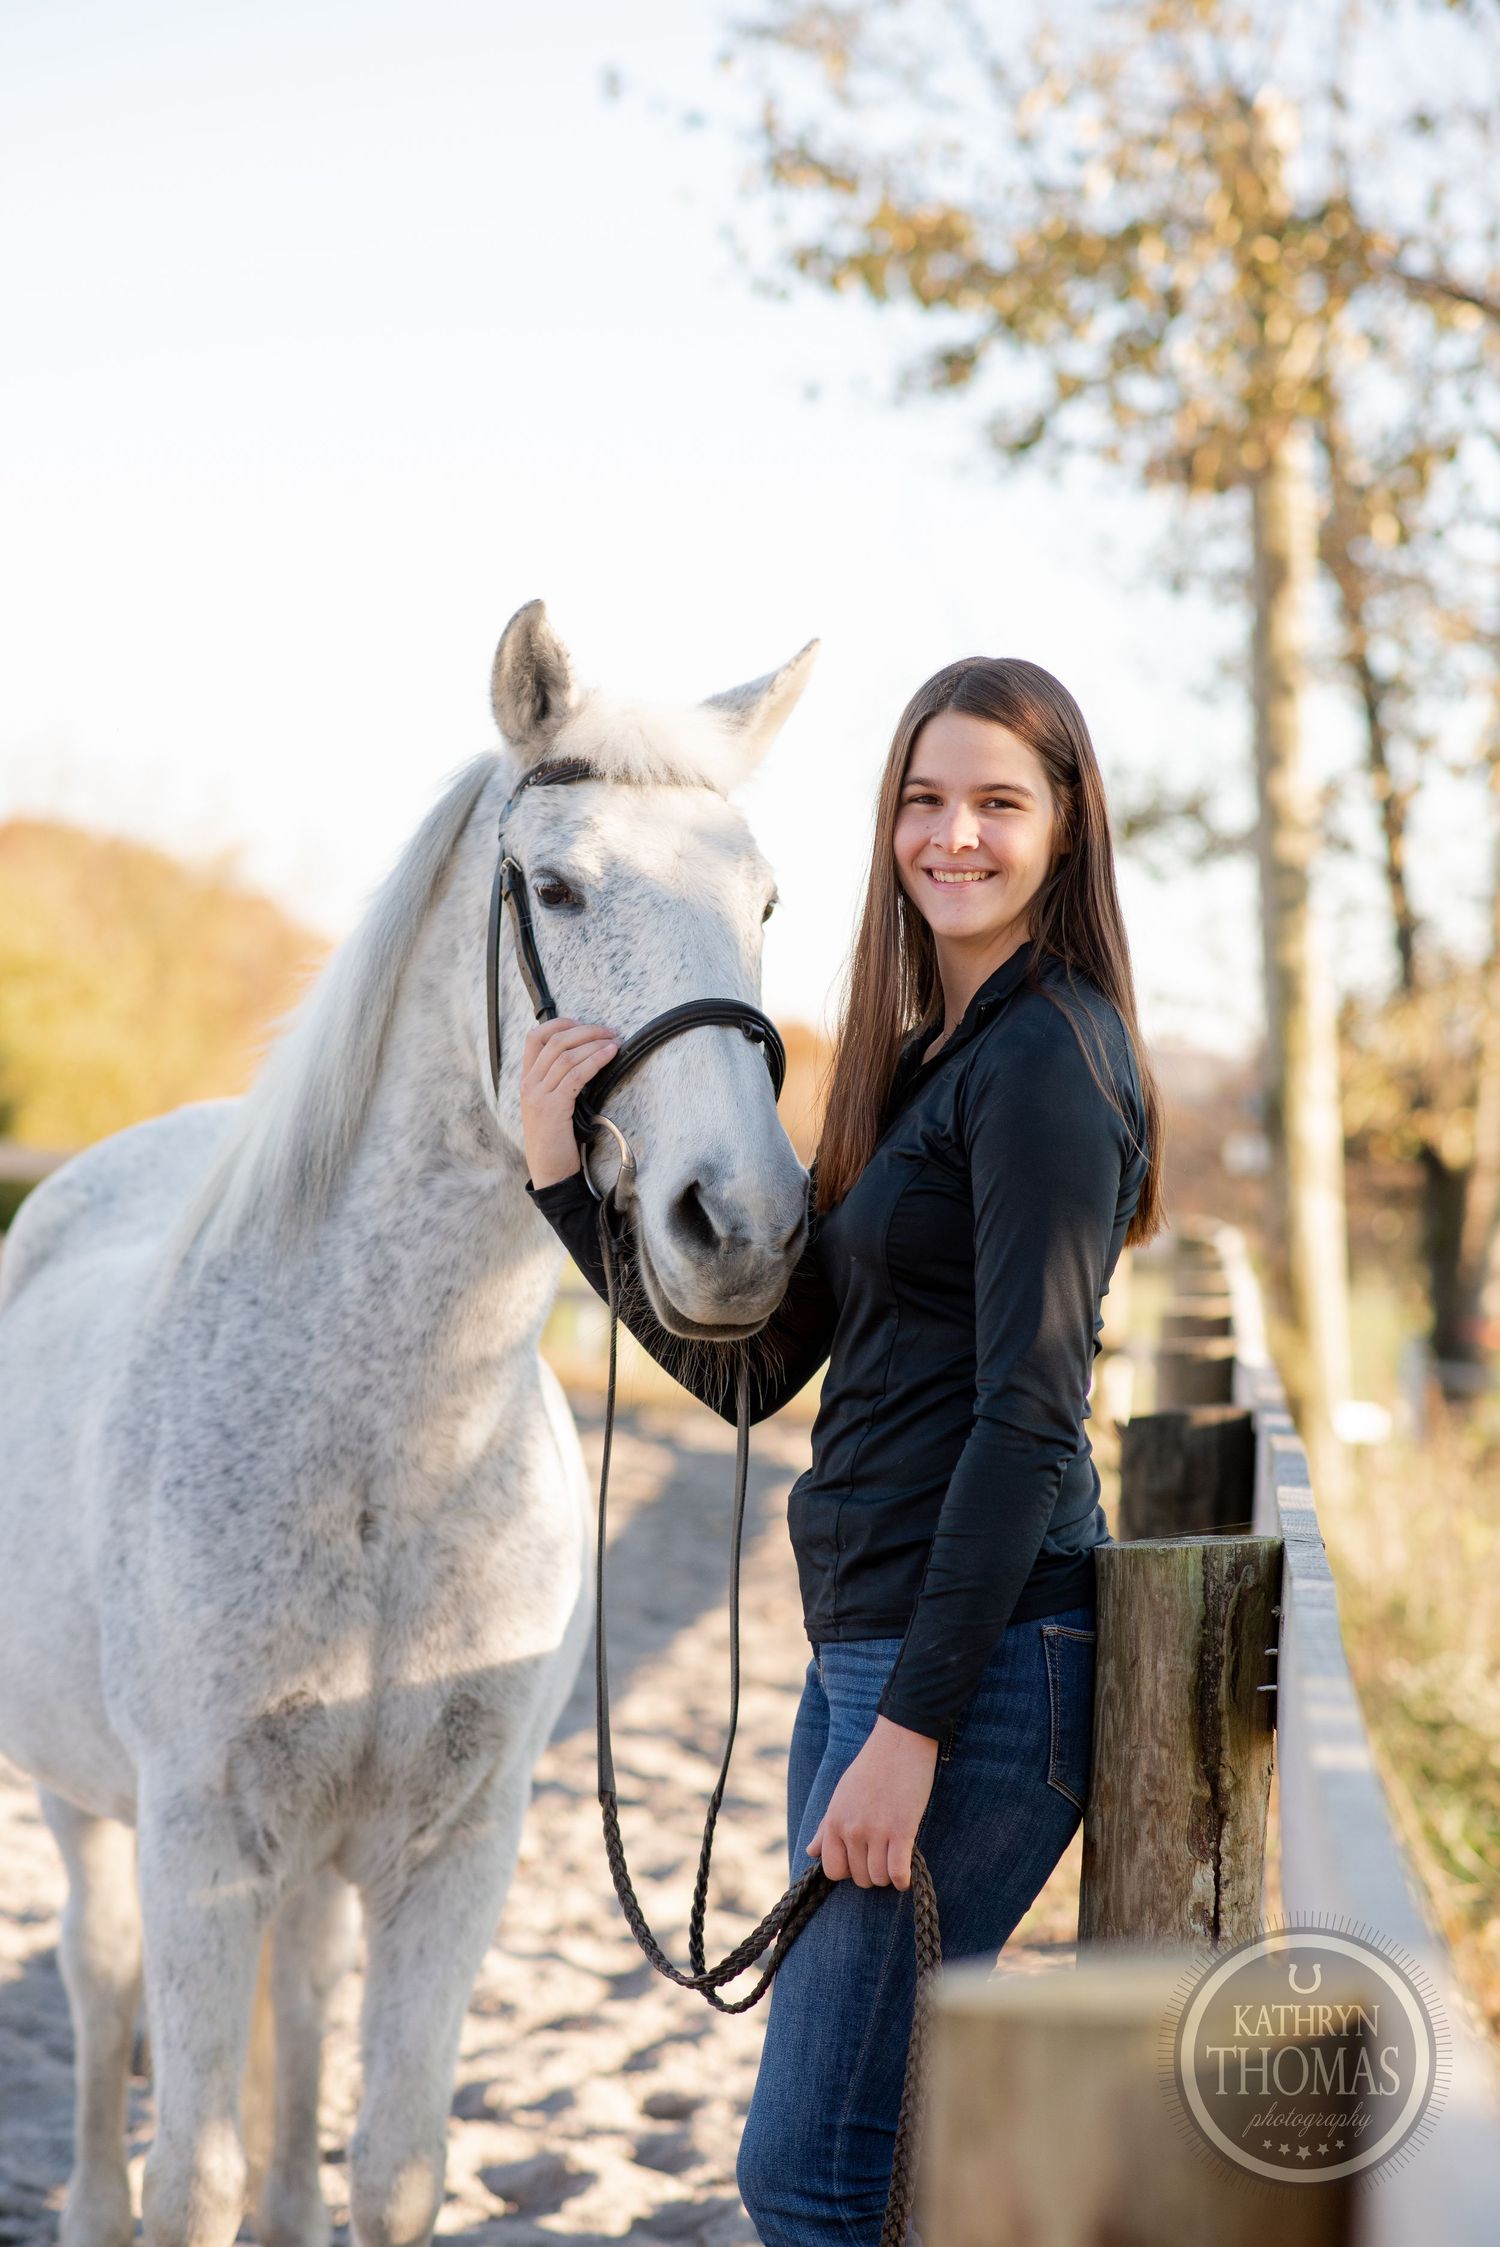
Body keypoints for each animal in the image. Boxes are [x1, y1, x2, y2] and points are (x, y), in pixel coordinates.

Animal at [0, 601, 817, 2247]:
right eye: (557, 887)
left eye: (763, 899)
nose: (744, 1228)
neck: (390, 1456)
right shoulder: (200, 1841)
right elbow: (192, 2172)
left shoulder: (453, 1852)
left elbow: (392, 2165)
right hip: (86, 1807)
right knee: (99, 1986)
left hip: (316, 1858)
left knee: (306, 2005)